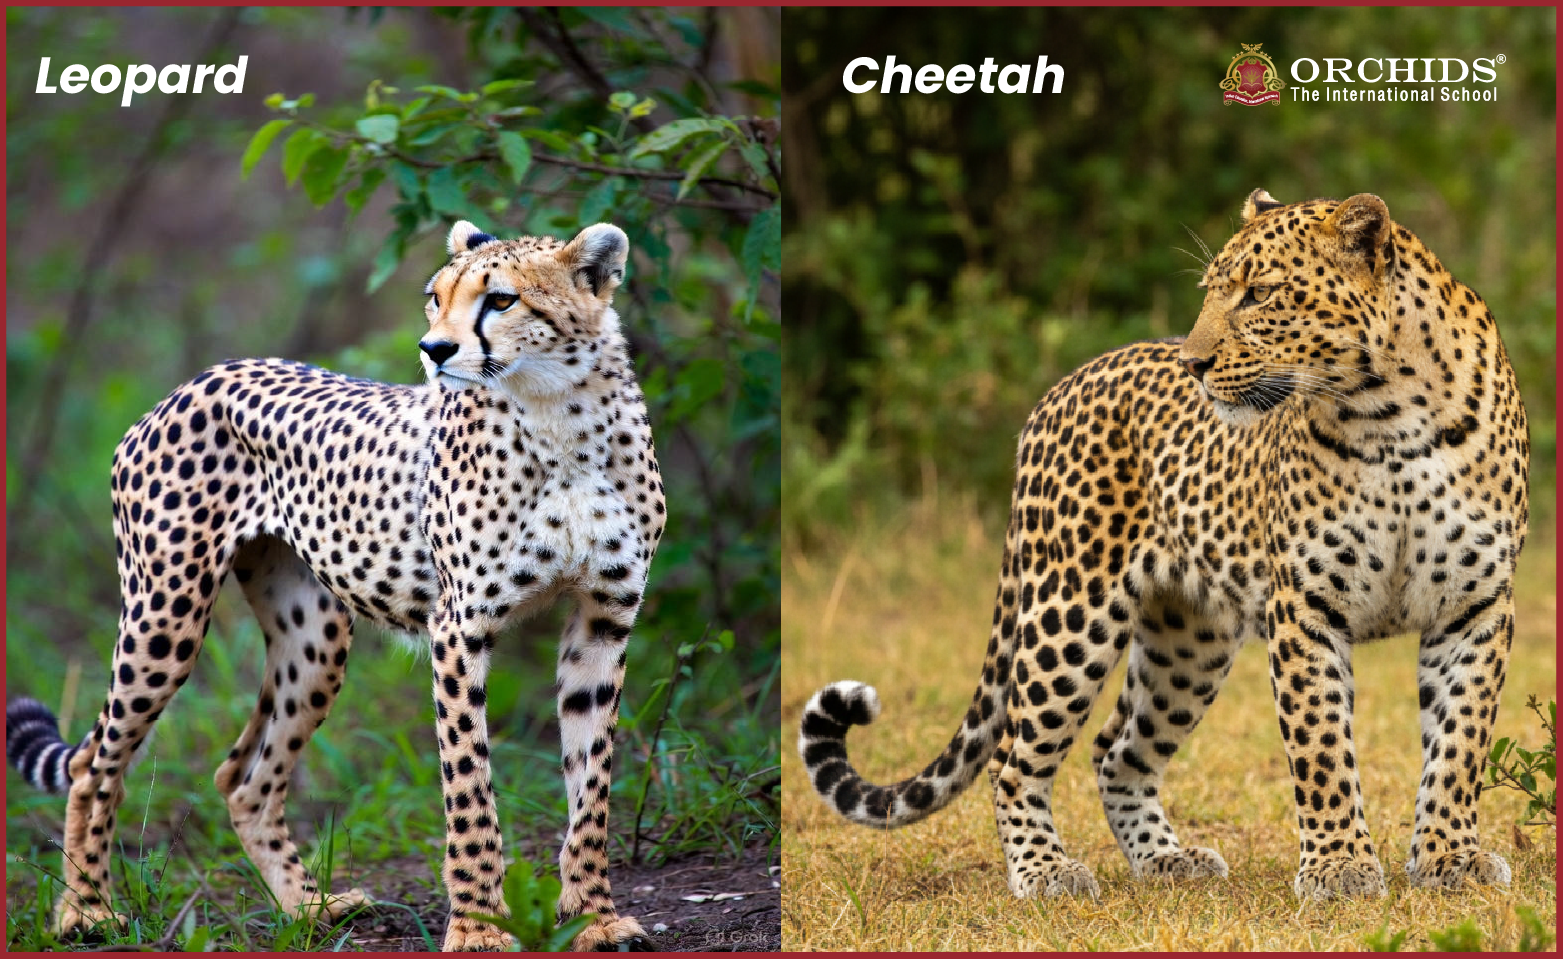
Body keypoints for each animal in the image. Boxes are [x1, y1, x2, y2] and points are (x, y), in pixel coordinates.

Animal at [6, 219, 665, 951]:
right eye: (435, 298)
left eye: (500, 299)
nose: (434, 349)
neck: (559, 418)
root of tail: (197, 378)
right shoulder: (459, 631)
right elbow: (470, 792)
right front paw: (477, 929)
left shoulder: (603, 619)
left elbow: (592, 784)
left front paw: (595, 918)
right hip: (165, 615)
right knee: (94, 763)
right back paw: (85, 912)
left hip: (314, 640)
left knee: (243, 777)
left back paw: (307, 906)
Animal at [799, 190, 1529, 901]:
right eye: (1212, 291)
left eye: (1259, 293)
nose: (1193, 363)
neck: (1389, 414)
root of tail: (1053, 393)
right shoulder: (1306, 605)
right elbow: (1320, 745)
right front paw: (1338, 867)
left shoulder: (1476, 605)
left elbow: (1459, 742)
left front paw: (1449, 859)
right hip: (1069, 612)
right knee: (1013, 757)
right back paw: (1044, 871)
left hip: (1189, 639)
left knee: (1115, 750)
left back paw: (1164, 859)